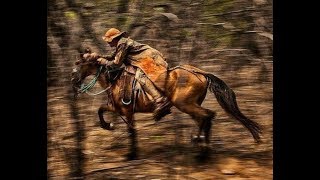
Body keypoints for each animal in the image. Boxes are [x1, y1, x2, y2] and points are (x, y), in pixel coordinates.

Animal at [71, 52, 262, 158]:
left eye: (79, 63)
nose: (73, 79)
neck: (115, 78)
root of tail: (202, 73)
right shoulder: (116, 107)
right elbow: (100, 110)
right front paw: (108, 125)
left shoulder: (127, 111)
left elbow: (132, 131)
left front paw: (132, 155)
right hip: (191, 105)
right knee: (204, 118)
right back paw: (200, 145)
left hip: (184, 104)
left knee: (208, 115)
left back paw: (200, 145)